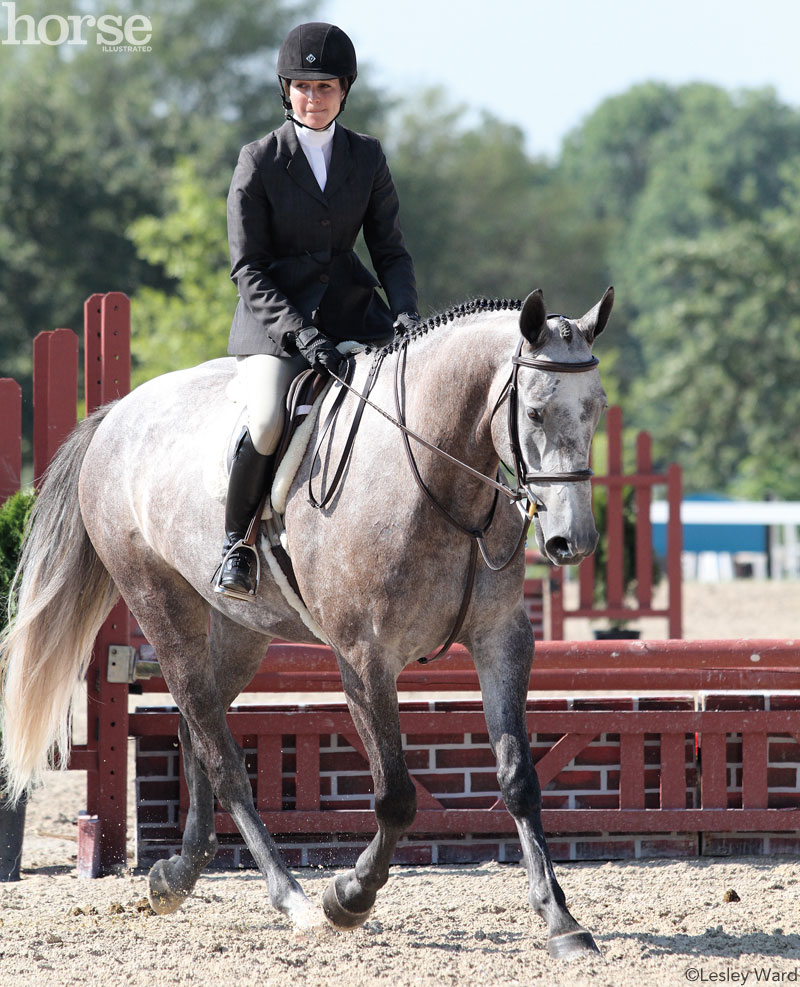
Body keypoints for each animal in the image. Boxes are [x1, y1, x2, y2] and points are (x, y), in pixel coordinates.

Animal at [1, 286, 613, 960]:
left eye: (597, 409)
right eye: (534, 412)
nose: (572, 542)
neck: (436, 479)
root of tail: (114, 416)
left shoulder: (502, 639)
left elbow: (519, 779)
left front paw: (561, 921)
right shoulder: (365, 656)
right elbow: (395, 796)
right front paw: (348, 897)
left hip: (240, 630)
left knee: (196, 730)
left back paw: (176, 876)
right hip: (160, 605)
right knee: (222, 757)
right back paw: (290, 898)